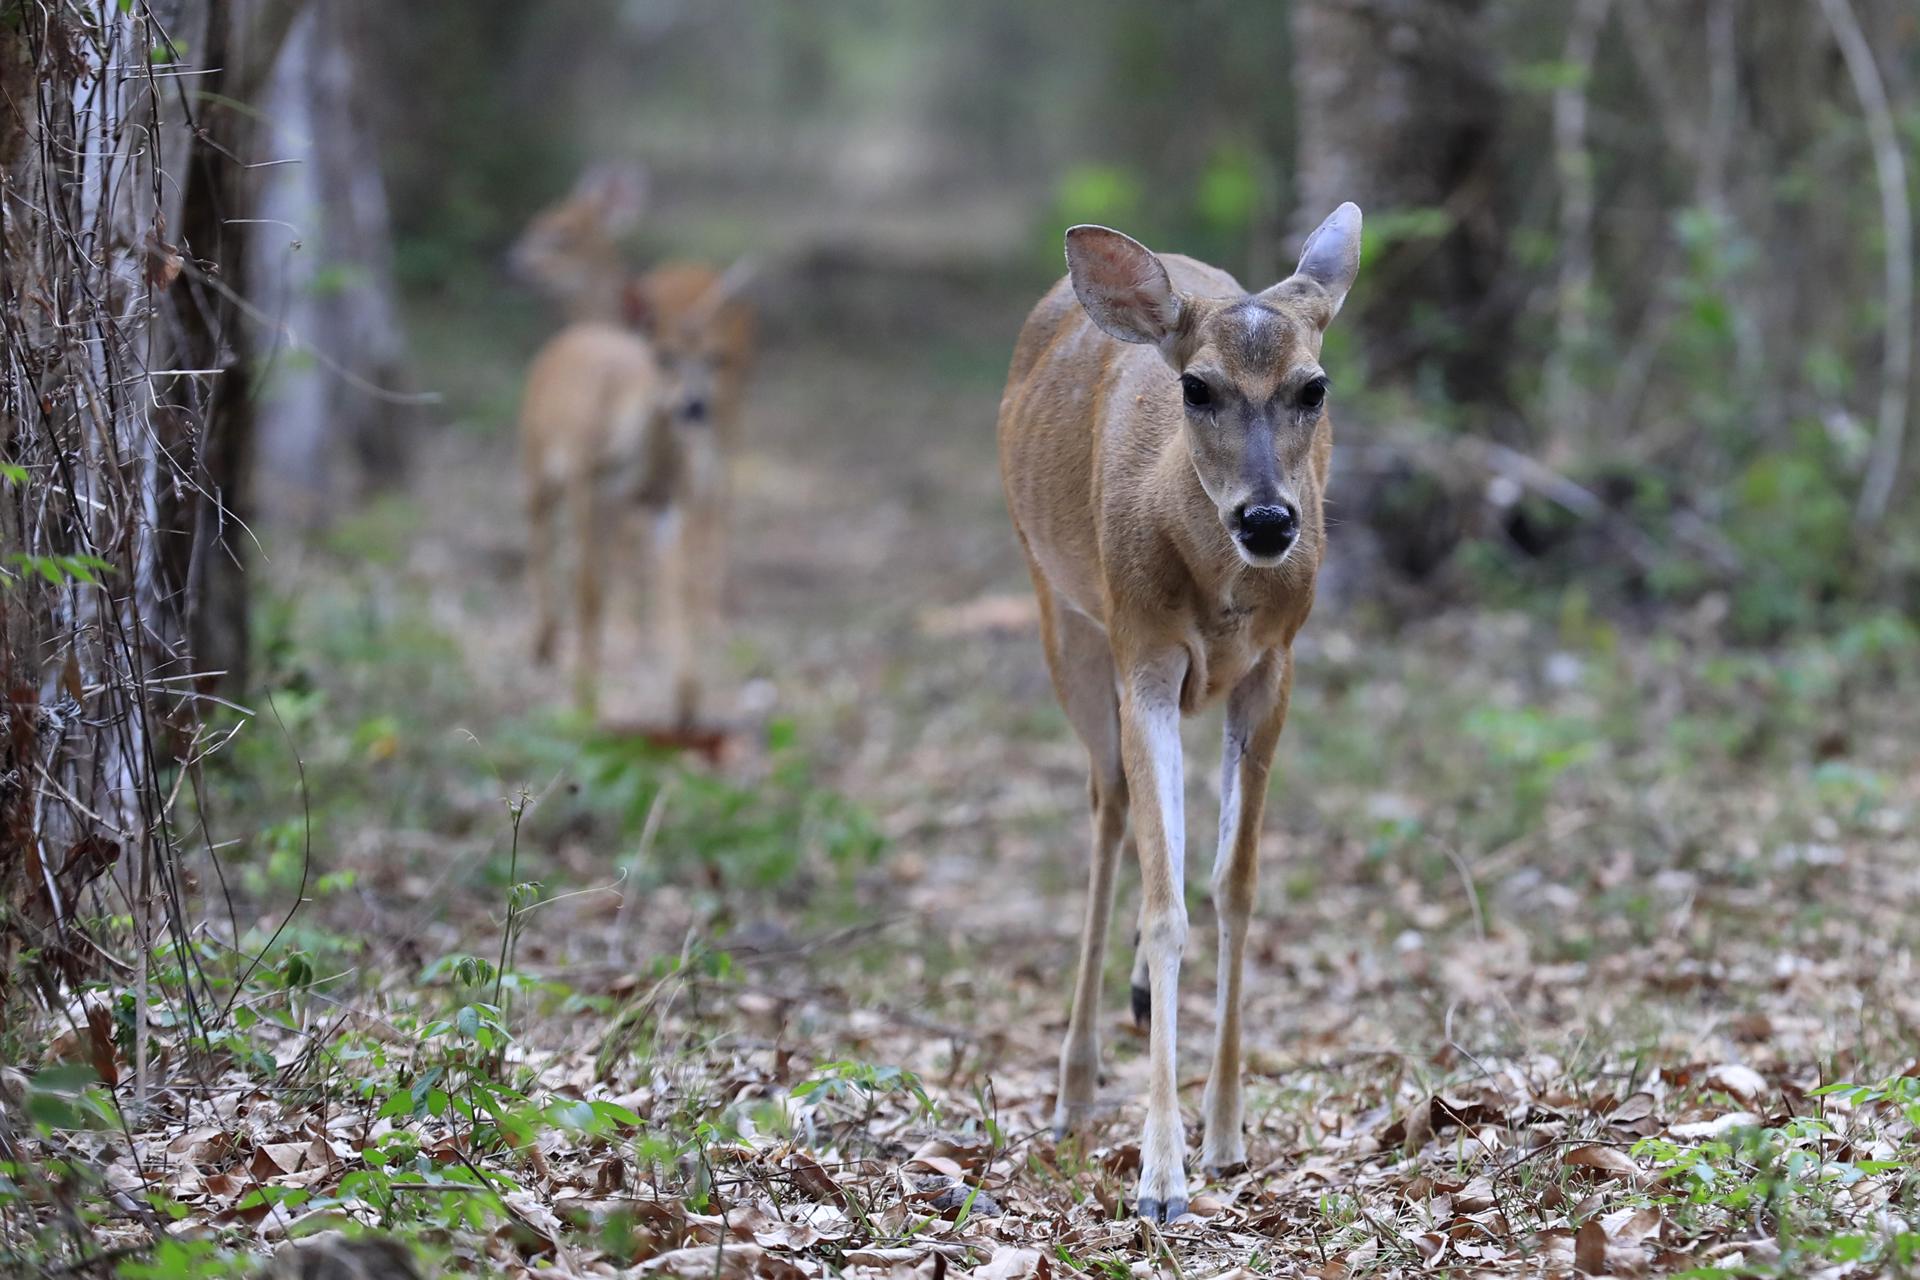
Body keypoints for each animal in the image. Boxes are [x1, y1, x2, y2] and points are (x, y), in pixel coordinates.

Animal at [510, 163, 756, 721]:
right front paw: (595, 686)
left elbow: (665, 578)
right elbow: (596, 585)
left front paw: (684, 698)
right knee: (542, 532)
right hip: (539, 459)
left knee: (723, 500)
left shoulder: (663, 492)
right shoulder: (594, 484)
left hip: (733, 419)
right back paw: (547, 641)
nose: (512, 263)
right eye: (535, 224)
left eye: (563, 234)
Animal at [998, 200, 1359, 1220]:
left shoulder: (1274, 667)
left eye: (1314, 386)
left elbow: (1234, 887)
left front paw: (1228, 1132)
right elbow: (1166, 904)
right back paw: (1074, 1086)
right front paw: (1161, 1177)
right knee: (1108, 807)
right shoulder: (1143, 651)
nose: (1270, 520)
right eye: (1196, 388)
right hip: (1063, 614)